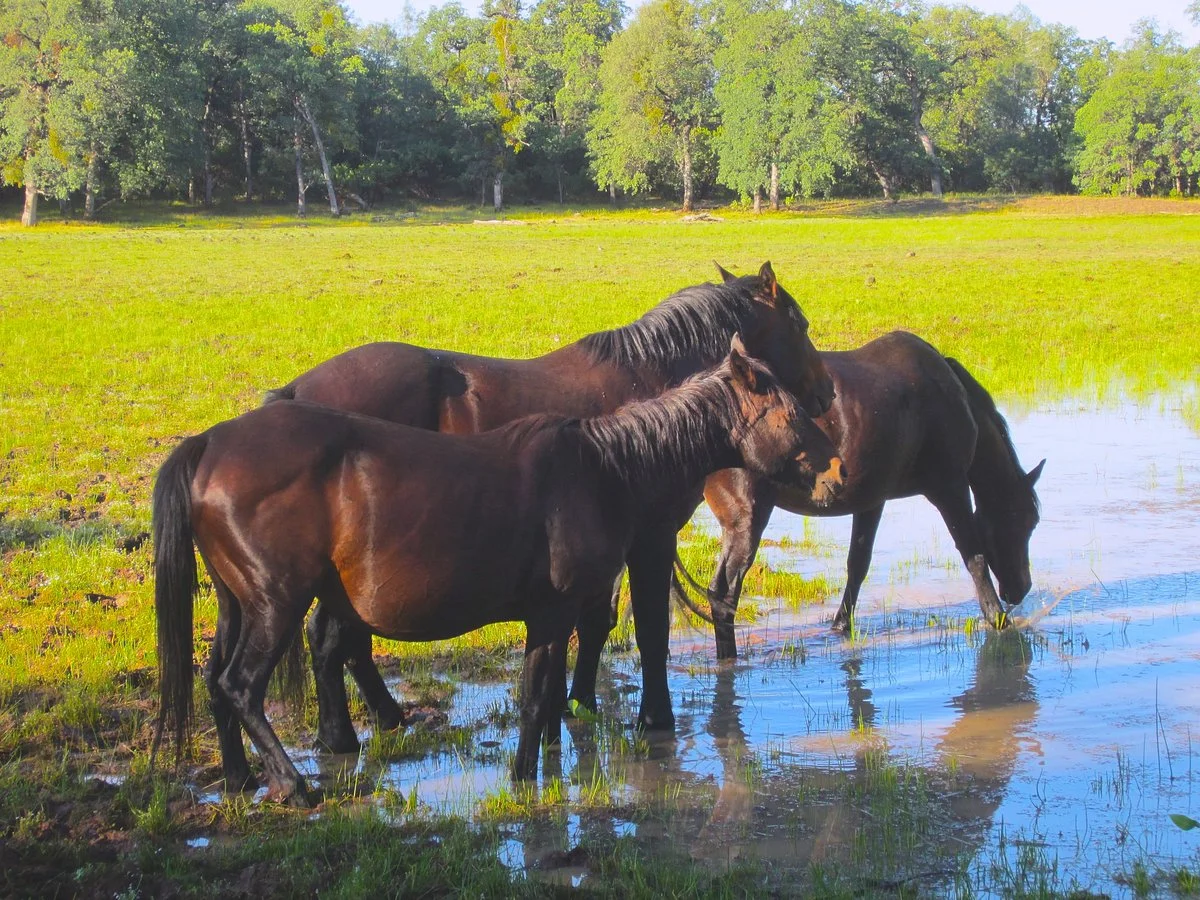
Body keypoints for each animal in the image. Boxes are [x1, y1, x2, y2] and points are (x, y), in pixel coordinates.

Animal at [152, 342, 844, 807]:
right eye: (788, 414)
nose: (836, 469)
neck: (604, 471)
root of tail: (210, 443)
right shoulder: (550, 613)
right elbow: (536, 698)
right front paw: (523, 781)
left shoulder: (556, 618)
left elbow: (548, 700)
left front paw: (541, 771)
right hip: (276, 604)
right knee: (242, 686)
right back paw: (294, 783)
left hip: (237, 602)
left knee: (215, 680)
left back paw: (241, 779)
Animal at [263, 263, 835, 750]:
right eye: (801, 324)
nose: (826, 394)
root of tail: (295, 391)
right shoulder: (651, 538)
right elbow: (645, 629)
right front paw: (649, 717)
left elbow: (594, 624)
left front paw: (571, 704)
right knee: (333, 638)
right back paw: (349, 733)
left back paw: (382, 718)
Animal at [681, 330, 1044, 658]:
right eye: (1025, 521)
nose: (1021, 588)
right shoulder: (950, 489)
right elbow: (975, 557)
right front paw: (997, 619)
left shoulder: (872, 501)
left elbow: (858, 564)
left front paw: (842, 625)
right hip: (746, 521)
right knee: (723, 593)